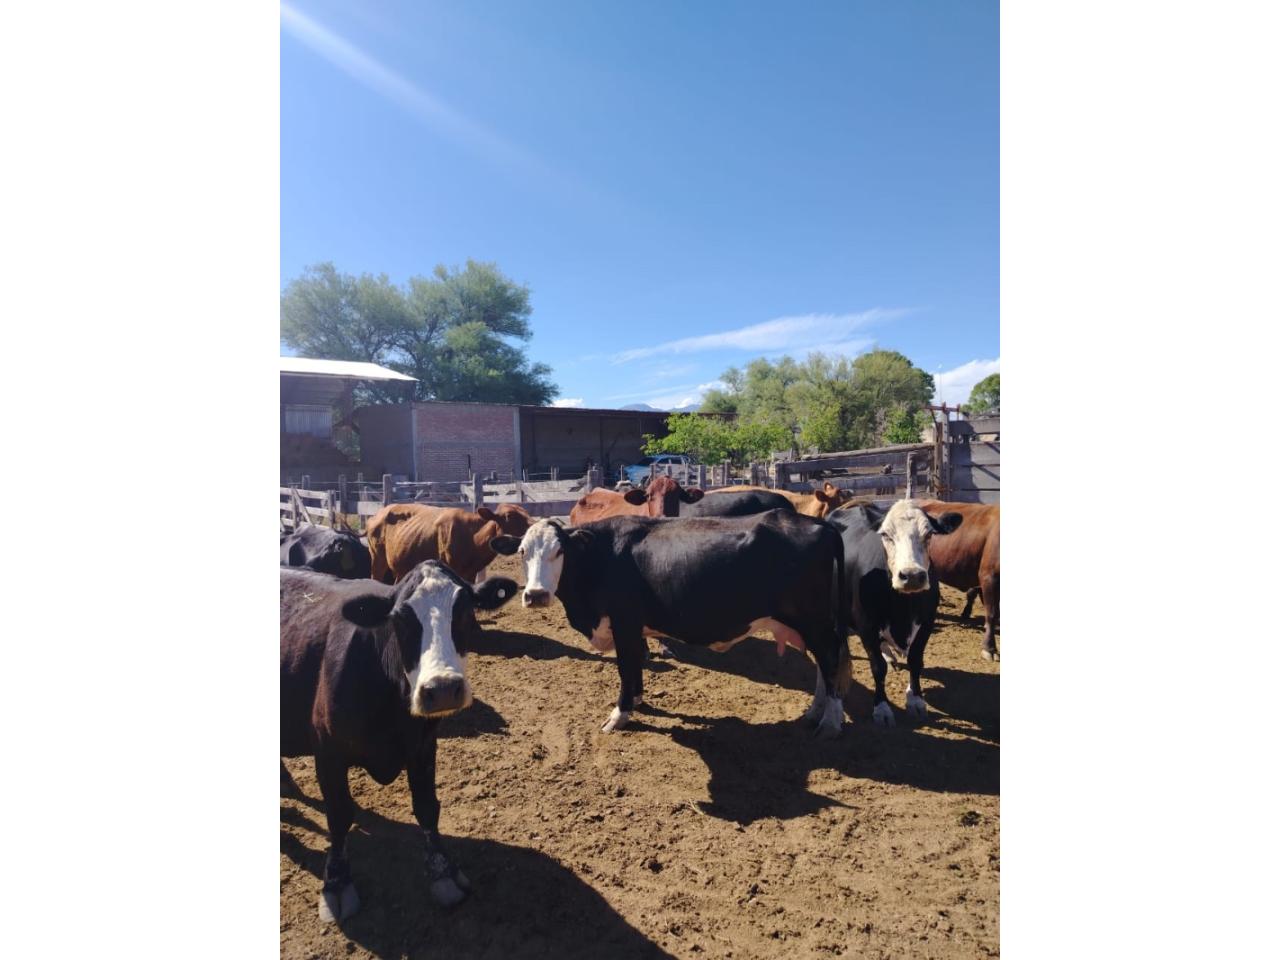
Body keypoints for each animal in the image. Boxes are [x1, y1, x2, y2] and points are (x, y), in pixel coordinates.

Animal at [280, 561, 518, 922]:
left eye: (465, 612)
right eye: (401, 619)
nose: (443, 688)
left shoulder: (423, 746)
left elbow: (427, 807)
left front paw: (443, 872)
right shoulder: (328, 753)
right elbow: (339, 816)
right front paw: (336, 883)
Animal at [365, 503, 532, 585]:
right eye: (509, 516)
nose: (534, 524)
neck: (472, 537)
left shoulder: (470, 573)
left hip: (402, 567)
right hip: (377, 558)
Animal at [491, 511, 851, 738]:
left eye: (559, 551)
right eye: (522, 552)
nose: (536, 595)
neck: (602, 557)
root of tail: (819, 524)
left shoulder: (624, 623)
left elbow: (626, 667)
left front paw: (619, 714)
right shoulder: (634, 629)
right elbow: (636, 665)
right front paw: (637, 701)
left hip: (814, 620)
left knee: (830, 658)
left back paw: (830, 722)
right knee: (825, 665)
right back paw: (815, 712)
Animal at [825, 500, 963, 727]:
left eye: (929, 534)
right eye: (885, 535)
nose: (912, 575)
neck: (903, 608)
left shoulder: (927, 623)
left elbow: (915, 661)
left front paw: (915, 700)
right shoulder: (866, 626)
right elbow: (878, 668)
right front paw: (881, 708)